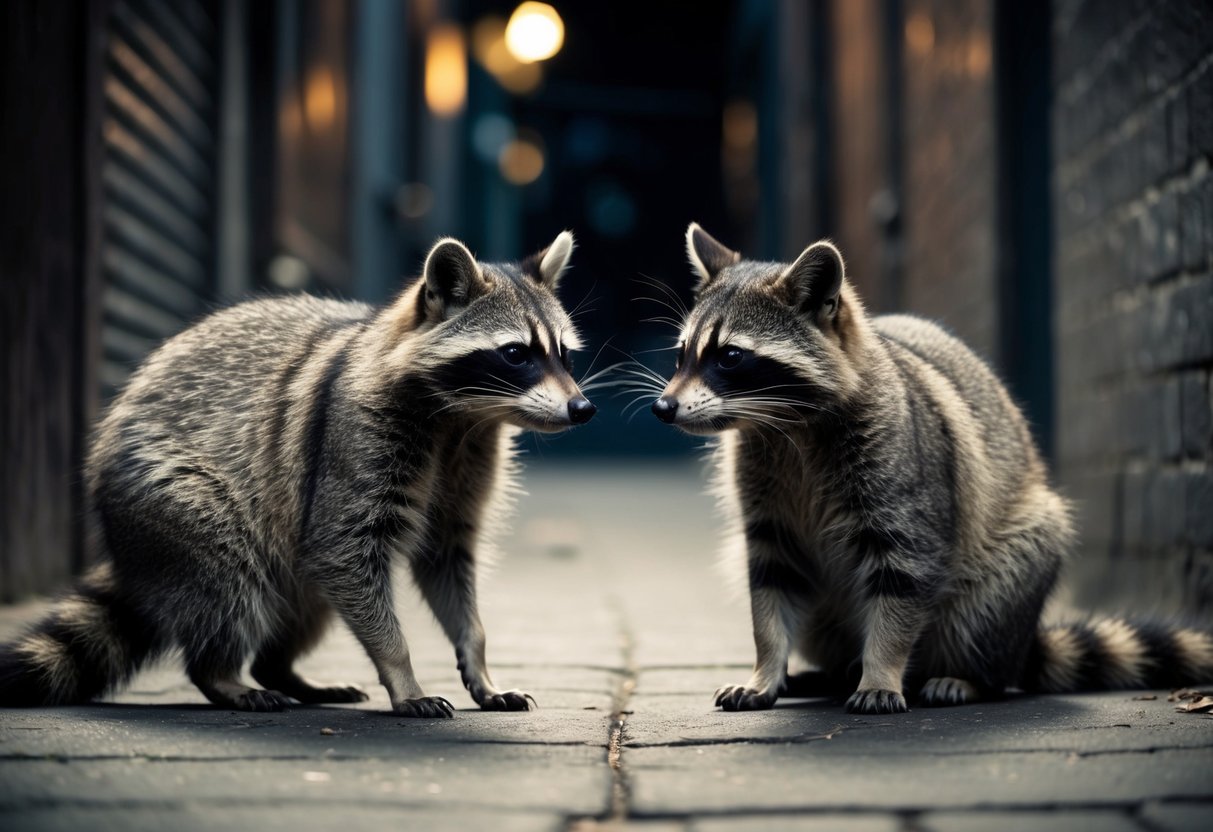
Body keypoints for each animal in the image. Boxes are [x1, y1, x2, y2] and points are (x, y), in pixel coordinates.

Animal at [0, 232, 596, 717]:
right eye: (515, 353)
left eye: (565, 355)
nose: (582, 409)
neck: (463, 419)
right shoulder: (353, 442)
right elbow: (342, 548)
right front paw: (401, 672)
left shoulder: (465, 468)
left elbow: (448, 559)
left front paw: (478, 660)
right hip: (169, 497)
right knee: (228, 578)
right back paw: (221, 674)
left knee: (306, 600)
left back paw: (281, 670)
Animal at [650, 223, 1213, 714]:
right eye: (681, 355)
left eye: (730, 357)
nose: (663, 408)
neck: (786, 429)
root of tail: (1024, 646)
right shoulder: (766, 503)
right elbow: (769, 584)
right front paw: (767, 666)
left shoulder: (905, 482)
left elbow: (903, 582)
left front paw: (881, 671)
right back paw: (828, 671)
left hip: (1012, 570)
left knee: (990, 602)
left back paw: (965, 676)